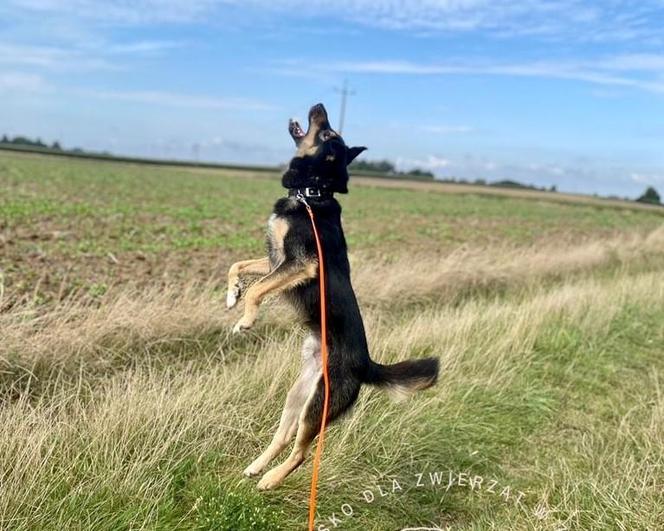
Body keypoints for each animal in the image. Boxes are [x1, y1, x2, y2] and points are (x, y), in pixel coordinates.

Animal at [226, 103, 438, 490]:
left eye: (327, 132)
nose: (320, 106)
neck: (311, 193)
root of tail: (366, 365)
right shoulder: (276, 259)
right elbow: (239, 267)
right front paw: (232, 295)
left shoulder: (301, 263)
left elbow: (259, 288)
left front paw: (246, 320)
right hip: (300, 395)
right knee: (284, 437)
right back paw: (256, 468)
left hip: (319, 405)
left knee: (302, 453)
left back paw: (271, 480)